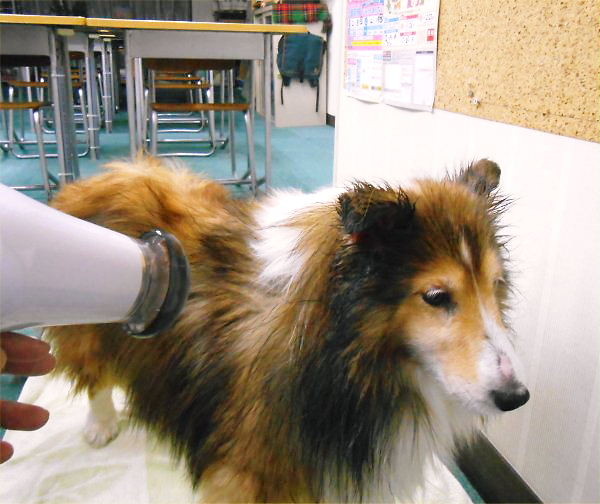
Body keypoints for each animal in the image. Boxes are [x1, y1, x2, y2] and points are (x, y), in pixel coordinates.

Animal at [46, 157, 529, 502]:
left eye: (496, 285)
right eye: (436, 296)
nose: (516, 397)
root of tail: (95, 178)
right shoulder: (251, 473)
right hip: (90, 321)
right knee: (95, 375)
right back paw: (102, 424)